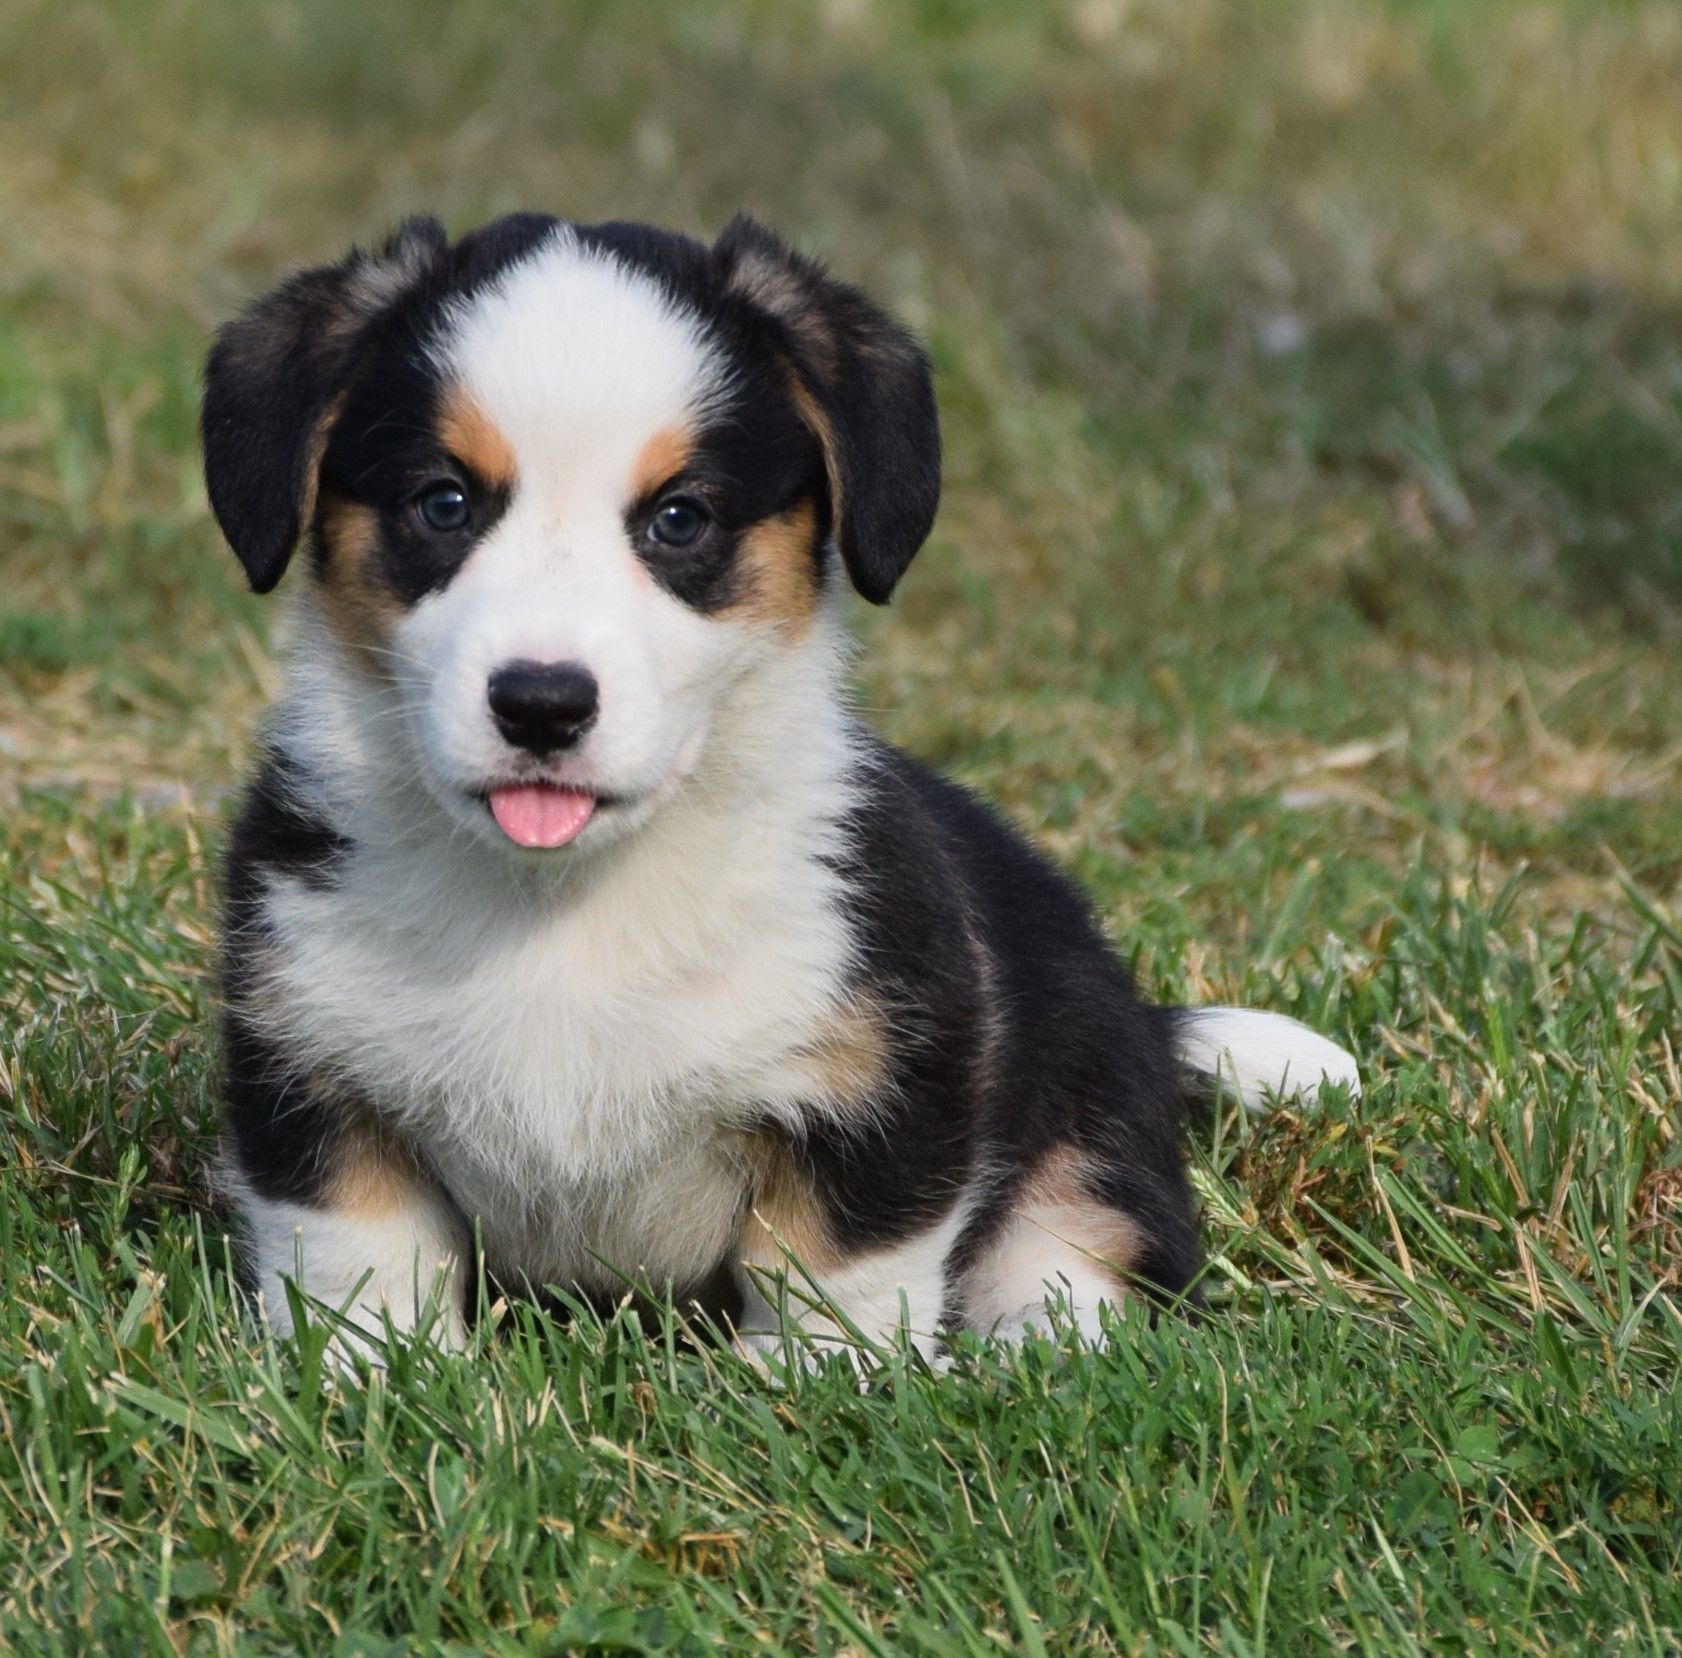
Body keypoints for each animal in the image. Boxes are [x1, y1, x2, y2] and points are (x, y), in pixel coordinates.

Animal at [206, 213, 1365, 1365]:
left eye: (680, 519)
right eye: (442, 503)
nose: (541, 703)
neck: (561, 901)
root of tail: (1143, 1018)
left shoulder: (884, 1082)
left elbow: (836, 1260)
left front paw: (821, 1380)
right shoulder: (313, 1067)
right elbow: (359, 1253)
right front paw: (370, 1371)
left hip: (1089, 1108)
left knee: (1079, 1238)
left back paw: (1037, 1343)